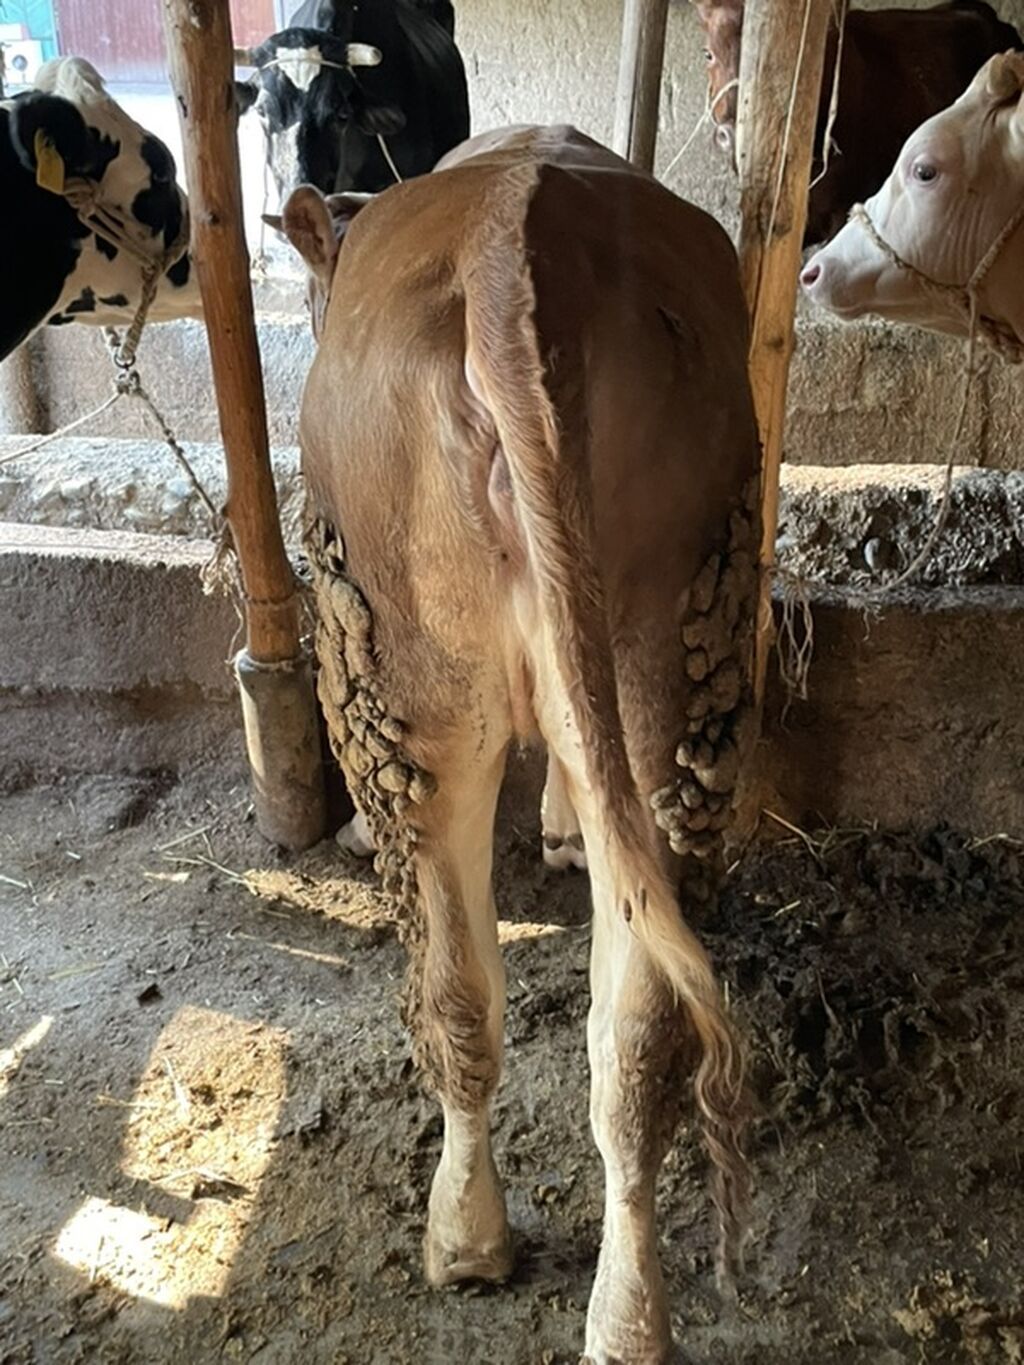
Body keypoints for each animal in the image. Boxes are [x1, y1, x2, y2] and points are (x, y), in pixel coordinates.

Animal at [278, 123, 760, 1360]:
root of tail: (511, 246)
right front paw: (559, 833)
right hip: (654, 674)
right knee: (627, 1034)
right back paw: (625, 1319)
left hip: (409, 693)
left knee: (459, 988)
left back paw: (463, 1241)